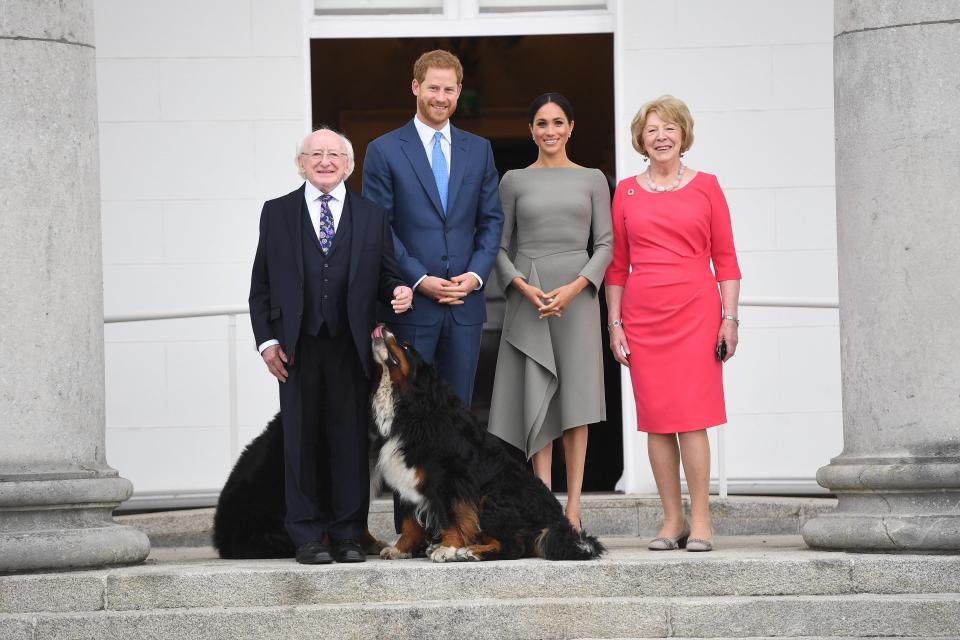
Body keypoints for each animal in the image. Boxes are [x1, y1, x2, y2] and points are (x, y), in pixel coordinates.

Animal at [372, 322, 604, 564]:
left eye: (406, 346)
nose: (382, 325)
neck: (413, 408)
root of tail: (554, 521)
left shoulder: (449, 479)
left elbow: (450, 516)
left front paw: (448, 548)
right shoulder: (407, 479)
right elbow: (409, 522)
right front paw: (400, 549)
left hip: (491, 498)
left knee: (514, 546)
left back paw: (470, 551)